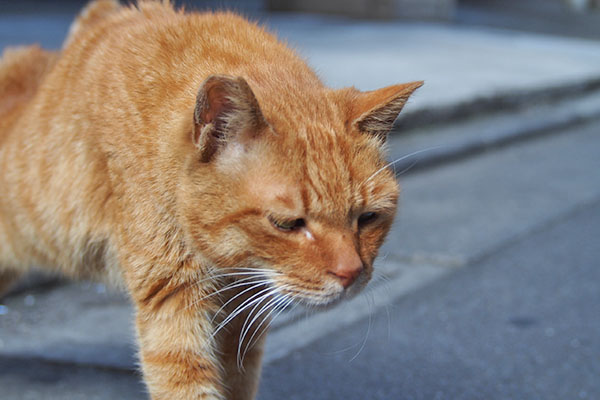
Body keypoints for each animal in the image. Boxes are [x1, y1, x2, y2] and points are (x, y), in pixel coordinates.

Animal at [0, 0, 422, 400]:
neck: (229, 262)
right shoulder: (173, 306)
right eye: (287, 224)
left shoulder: (243, 312)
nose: (351, 273)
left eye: (368, 218)